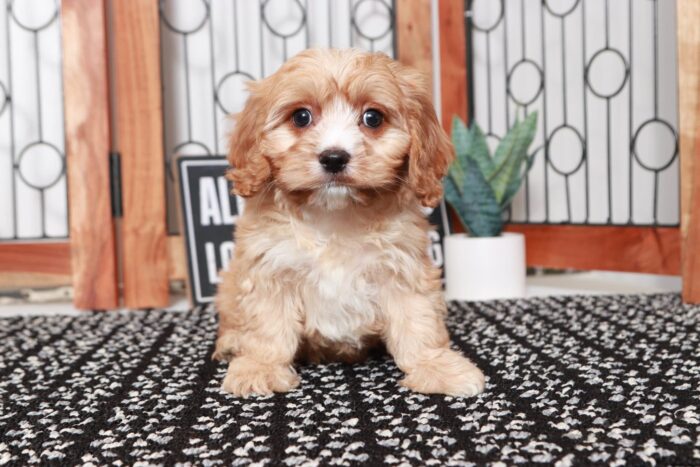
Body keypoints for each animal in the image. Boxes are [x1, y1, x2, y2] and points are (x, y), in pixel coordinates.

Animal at [216, 48, 484, 398]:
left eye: (373, 118)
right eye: (301, 117)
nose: (334, 157)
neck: (334, 215)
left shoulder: (403, 266)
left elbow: (418, 321)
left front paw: (436, 367)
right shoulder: (270, 267)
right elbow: (267, 325)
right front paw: (259, 366)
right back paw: (231, 342)